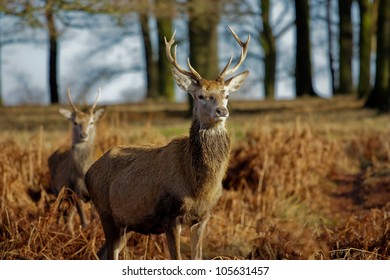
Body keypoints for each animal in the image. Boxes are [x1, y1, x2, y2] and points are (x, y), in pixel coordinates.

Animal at [47, 89, 105, 234]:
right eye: (74, 122)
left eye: (91, 122)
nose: (83, 135)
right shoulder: (76, 190)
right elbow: (84, 221)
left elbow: (94, 217)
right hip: (59, 191)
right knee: (63, 213)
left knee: (67, 214)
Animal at [85, 26, 250, 260]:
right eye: (200, 96)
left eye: (226, 95)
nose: (222, 111)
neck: (199, 187)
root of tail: (88, 172)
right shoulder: (169, 216)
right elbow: (177, 257)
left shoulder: (203, 217)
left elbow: (198, 257)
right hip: (106, 213)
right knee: (110, 253)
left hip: (127, 223)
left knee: (103, 253)